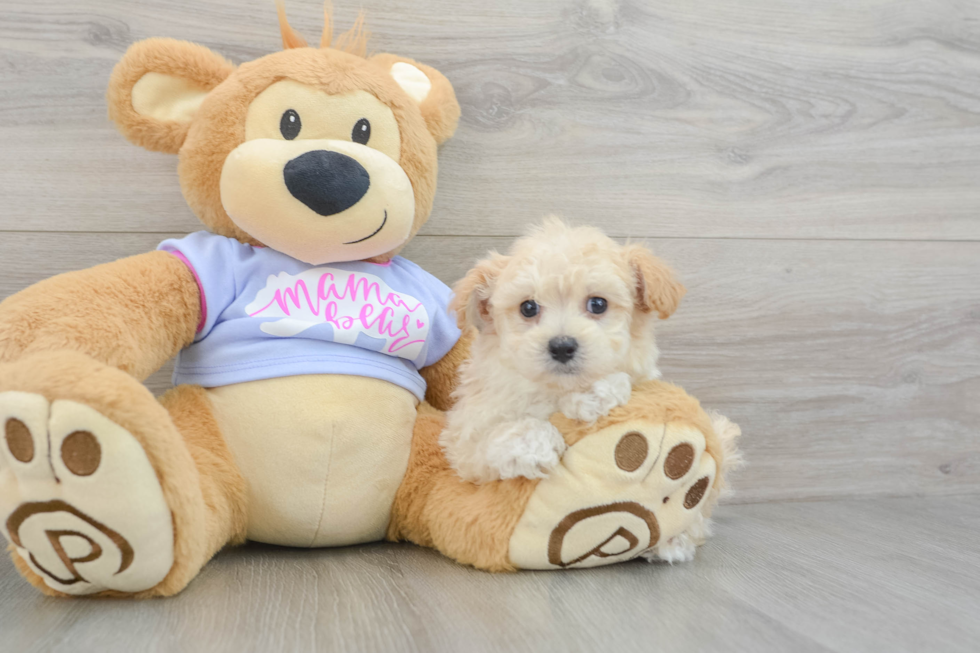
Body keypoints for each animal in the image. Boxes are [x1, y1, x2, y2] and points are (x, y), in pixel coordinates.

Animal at [440, 219, 684, 484]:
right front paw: (537, 444)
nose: (562, 347)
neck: (554, 390)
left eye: (598, 304)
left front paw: (592, 392)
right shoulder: (464, 440)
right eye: (528, 307)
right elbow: (488, 441)